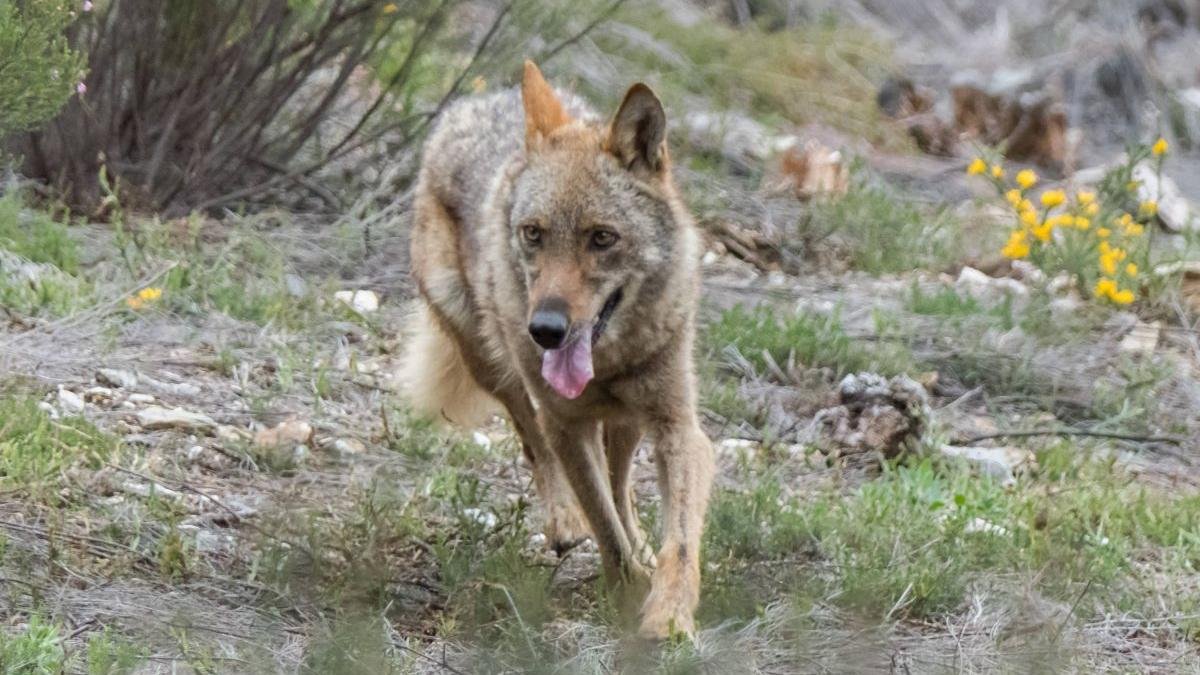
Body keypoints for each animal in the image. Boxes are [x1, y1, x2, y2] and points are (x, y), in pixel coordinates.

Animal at [401, 61, 714, 639]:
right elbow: (604, 528)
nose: (544, 329)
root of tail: (478, 102)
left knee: (620, 485)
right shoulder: (565, 423)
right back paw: (566, 523)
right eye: (534, 233)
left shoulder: (678, 428)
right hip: (494, 364)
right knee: (535, 443)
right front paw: (627, 590)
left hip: (627, 422)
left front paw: (668, 617)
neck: (609, 362)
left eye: (602, 238)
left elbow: (677, 542)